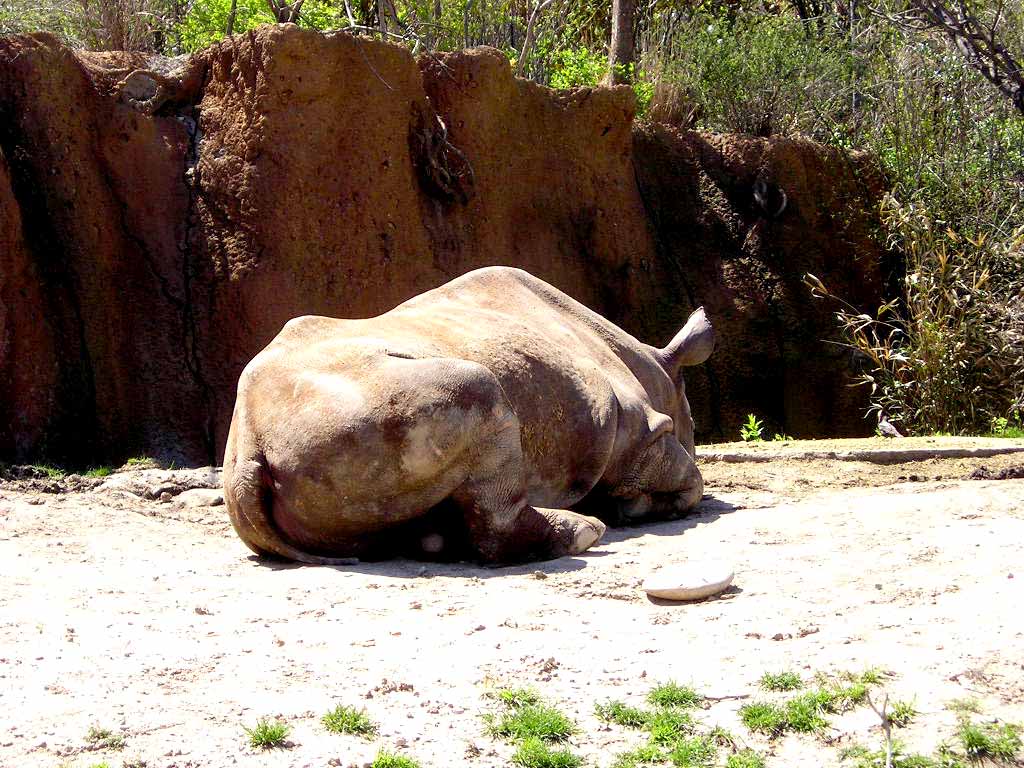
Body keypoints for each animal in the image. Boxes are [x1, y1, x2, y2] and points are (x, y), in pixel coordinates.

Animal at [226, 266, 712, 565]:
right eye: (693, 427)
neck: (657, 369)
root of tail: (249, 447)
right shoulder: (639, 431)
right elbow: (686, 476)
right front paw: (642, 505)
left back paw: (432, 539)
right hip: (357, 409)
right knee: (478, 392)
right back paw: (587, 532)